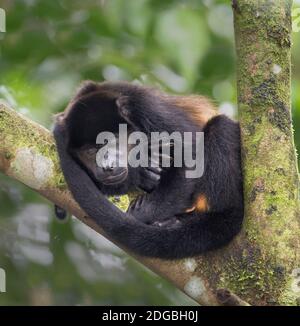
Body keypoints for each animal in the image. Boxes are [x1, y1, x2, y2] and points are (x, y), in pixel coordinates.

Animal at [53, 80, 244, 258]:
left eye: (111, 140)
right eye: (90, 151)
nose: (107, 166)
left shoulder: (145, 107)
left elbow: (191, 154)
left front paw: (142, 213)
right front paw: (144, 172)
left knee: (220, 126)